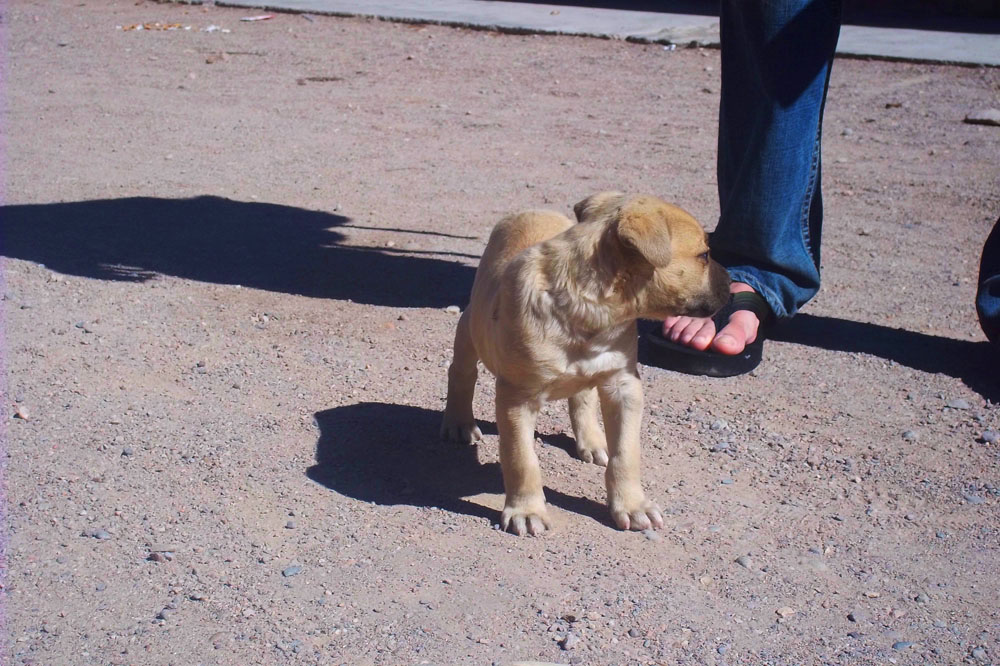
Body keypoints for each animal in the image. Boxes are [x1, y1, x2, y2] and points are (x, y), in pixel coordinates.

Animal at [442, 192, 732, 536]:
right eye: (704, 255)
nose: (732, 283)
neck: (590, 311)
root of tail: (531, 211)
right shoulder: (517, 399)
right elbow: (521, 459)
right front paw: (526, 510)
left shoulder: (623, 386)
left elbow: (626, 454)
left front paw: (632, 505)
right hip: (470, 327)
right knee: (462, 372)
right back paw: (459, 422)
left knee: (582, 398)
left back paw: (592, 441)